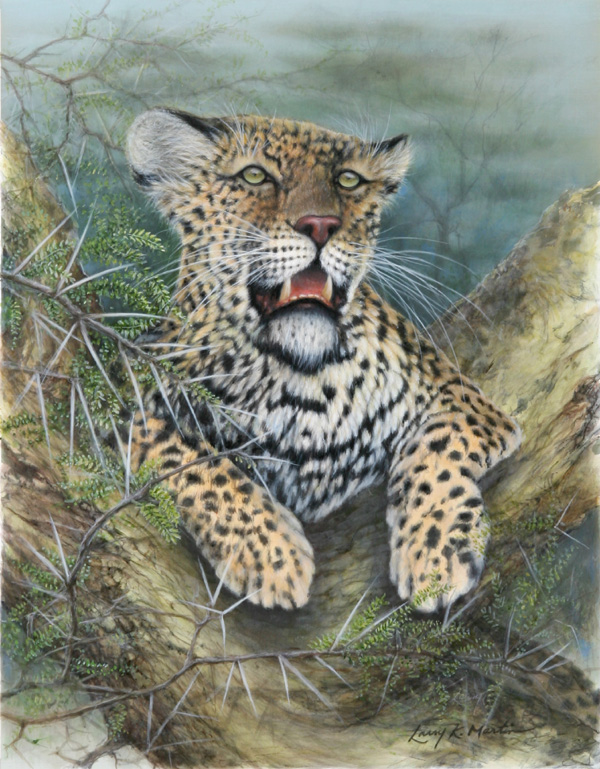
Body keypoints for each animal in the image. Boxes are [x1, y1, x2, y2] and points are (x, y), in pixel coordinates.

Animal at [124, 108, 521, 613]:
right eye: (254, 176)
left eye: (348, 180)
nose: (320, 225)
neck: (302, 377)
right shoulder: (119, 389)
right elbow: (185, 455)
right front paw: (270, 553)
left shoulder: (462, 398)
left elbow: (436, 451)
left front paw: (437, 557)